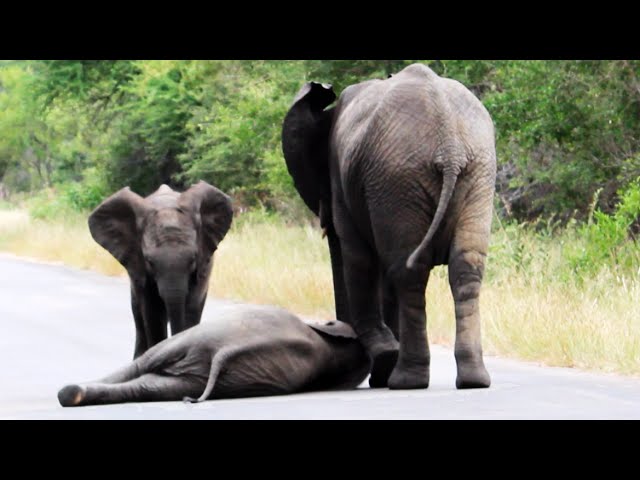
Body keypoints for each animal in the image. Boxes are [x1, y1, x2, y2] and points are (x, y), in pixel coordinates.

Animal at [282, 62, 498, 390]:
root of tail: (448, 142)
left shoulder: (343, 181)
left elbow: (357, 260)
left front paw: (383, 364)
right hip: (472, 174)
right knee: (465, 269)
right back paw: (472, 381)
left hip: (401, 179)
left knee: (407, 272)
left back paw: (404, 379)